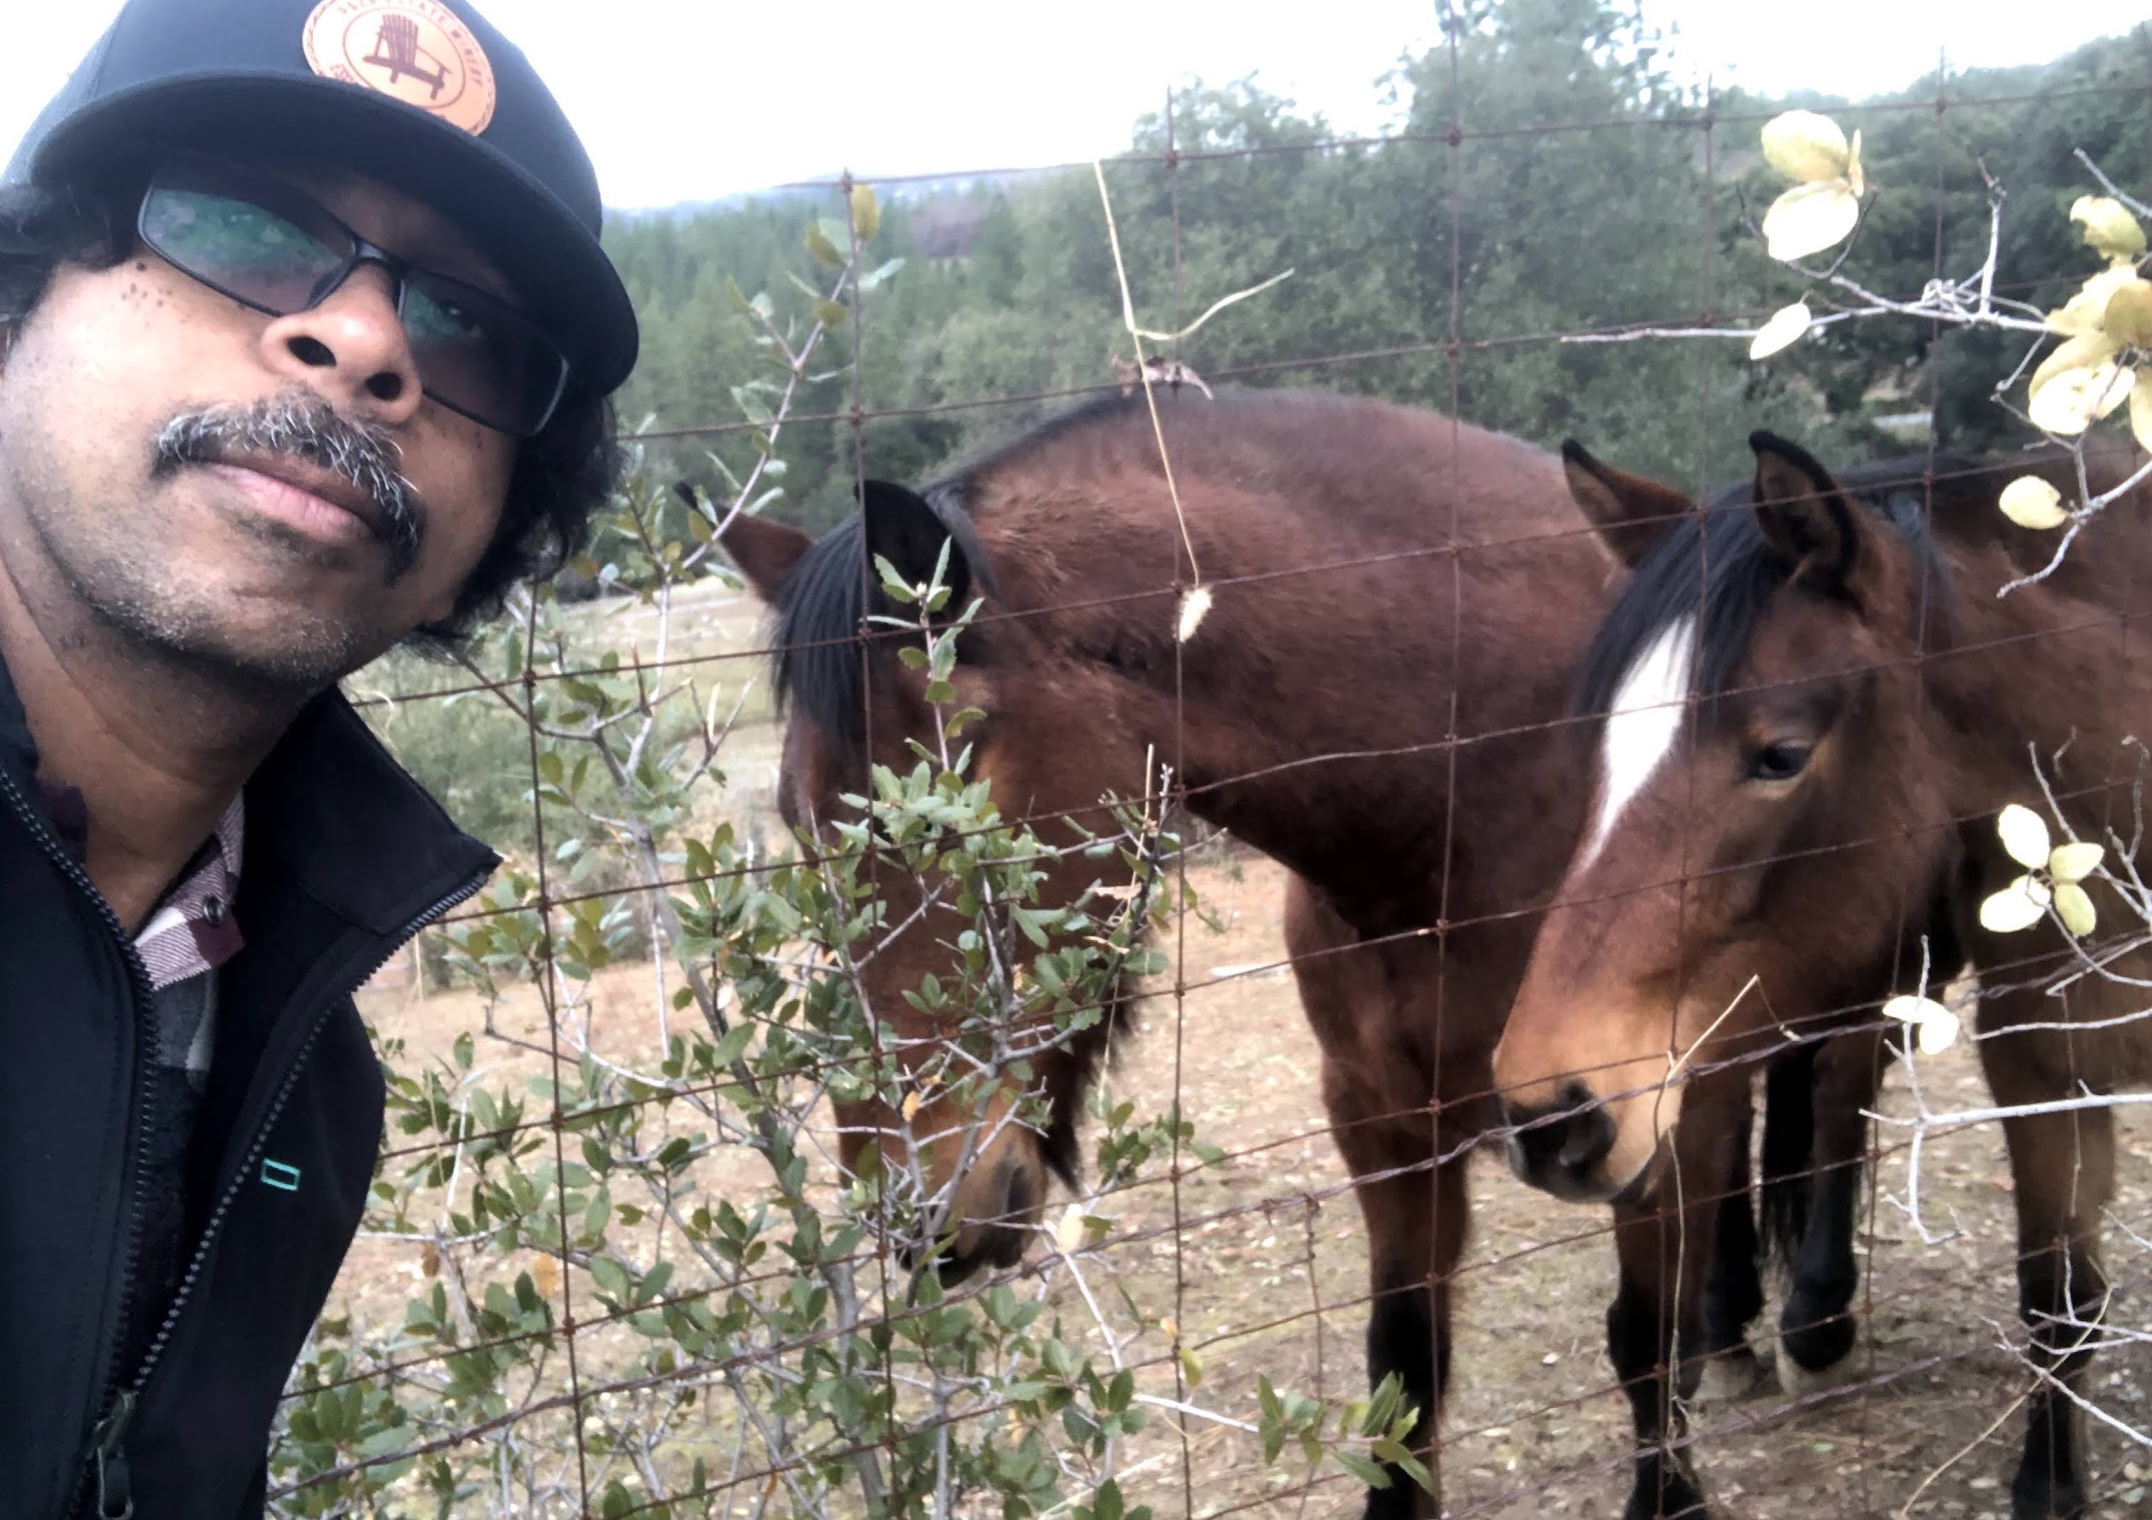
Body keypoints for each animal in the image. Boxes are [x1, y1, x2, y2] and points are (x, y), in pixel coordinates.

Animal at [713, 387, 1842, 1517]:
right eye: (795, 818)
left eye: (958, 784)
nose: (914, 1209)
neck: (1478, 784)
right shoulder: (1382, 1119)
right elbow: (1405, 1368)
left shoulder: (1633, 1109)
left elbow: (1644, 1342)